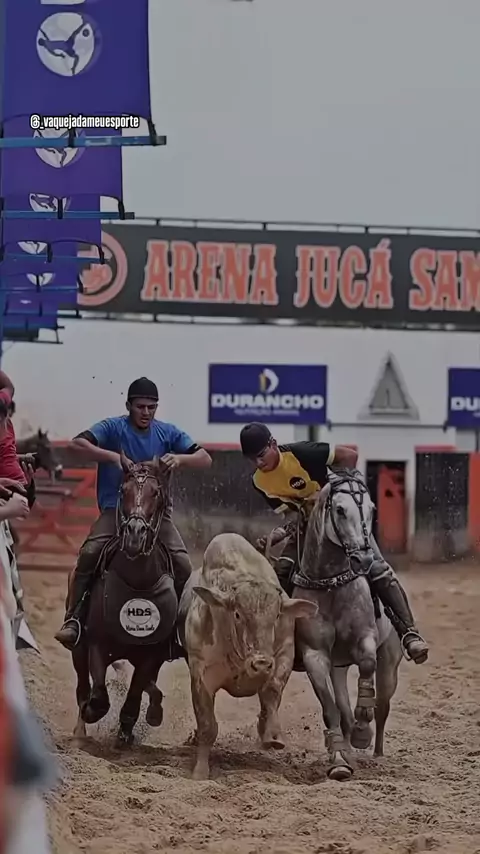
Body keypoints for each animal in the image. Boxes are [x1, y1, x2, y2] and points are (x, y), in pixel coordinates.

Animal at [71, 453, 179, 749]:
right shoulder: (96, 645)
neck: (137, 583)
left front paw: (128, 729)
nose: (134, 533)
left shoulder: (151, 655)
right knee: (82, 683)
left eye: (156, 493)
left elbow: (135, 693)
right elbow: (98, 696)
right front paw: (93, 711)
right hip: (78, 647)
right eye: (123, 491)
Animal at [178, 532, 318, 780]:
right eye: (237, 614)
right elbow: (207, 725)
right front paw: (200, 771)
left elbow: (271, 691)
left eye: (277, 615)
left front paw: (273, 735)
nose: (260, 663)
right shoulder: (201, 673)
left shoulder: (284, 654)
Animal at [291, 469, 403, 782]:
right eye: (340, 510)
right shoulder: (315, 655)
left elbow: (366, 665)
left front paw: (362, 732)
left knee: (382, 706)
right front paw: (339, 759)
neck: (330, 584)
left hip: (390, 663)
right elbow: (330, 709)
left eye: (372, 509)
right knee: (341, 705)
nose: (363, 558)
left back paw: (375, 751)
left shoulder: (366, 639)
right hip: (338, 667)